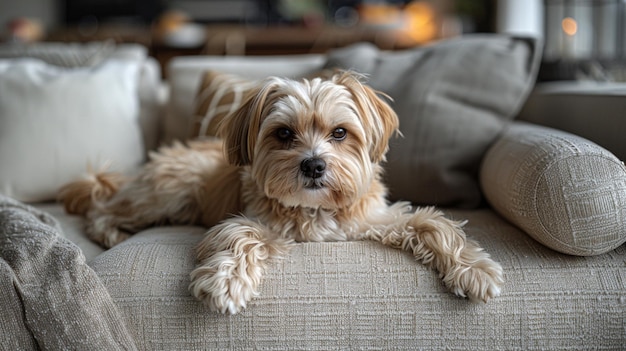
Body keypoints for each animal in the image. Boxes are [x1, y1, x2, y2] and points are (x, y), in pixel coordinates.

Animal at [59, 70, 502, 314]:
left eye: (340, 133)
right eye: (284, 134)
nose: (313, 165)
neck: (317, 210)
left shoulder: (373, 219)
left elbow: (431, 223)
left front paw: (474, 269)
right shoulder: (256, 223)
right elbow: (240, 235)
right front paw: (227, 282)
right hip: (168, 192)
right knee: (102, 209)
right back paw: (111, 232)